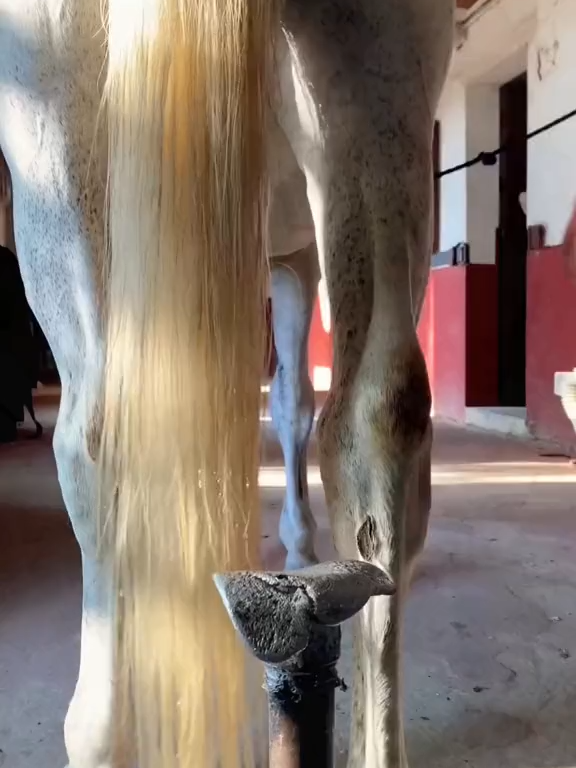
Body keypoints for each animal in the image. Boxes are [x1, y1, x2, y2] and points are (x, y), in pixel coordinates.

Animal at [0, 1, 454, 767]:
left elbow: (294, 405)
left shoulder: (289, 256)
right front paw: (301, 544)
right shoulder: (295, 259)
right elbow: (295, 404)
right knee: (375, 418)